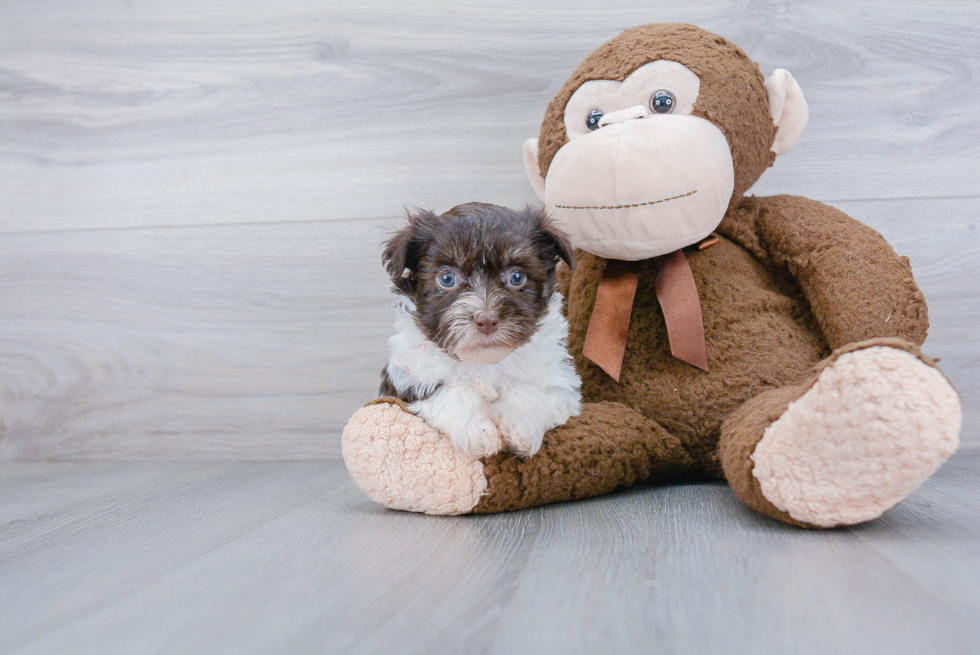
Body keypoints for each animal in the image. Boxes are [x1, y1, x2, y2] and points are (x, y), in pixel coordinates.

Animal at [378, 202, 580, 458]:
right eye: (447, 278)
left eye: (516, 277)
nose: (486, 320)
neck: (484, 362)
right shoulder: (410, 377)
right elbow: (452, 393)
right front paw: (476, 431)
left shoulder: (558, 379)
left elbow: (530, 392)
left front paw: (519, 425)